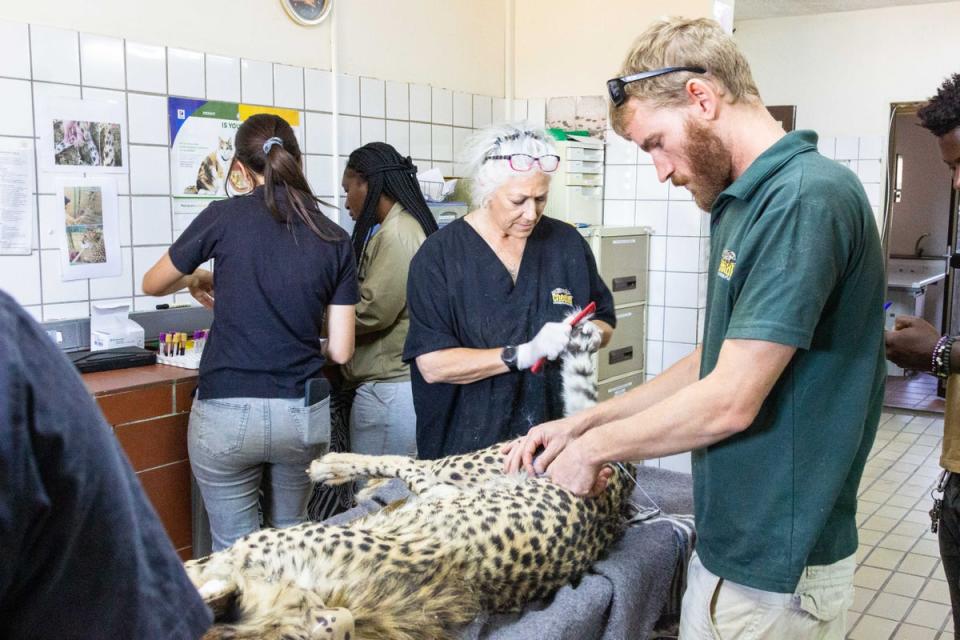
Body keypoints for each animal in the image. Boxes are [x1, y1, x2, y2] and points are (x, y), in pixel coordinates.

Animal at [188, 318, 636, 636]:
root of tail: (618, 495)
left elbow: (198, 564)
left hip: (470, 464)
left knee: (408, 464)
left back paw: (331, 467)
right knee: (412, 479)